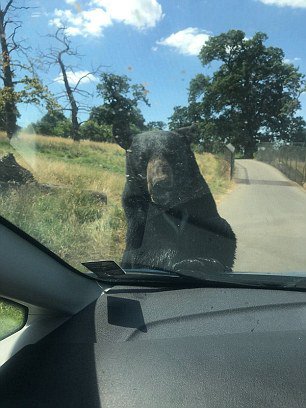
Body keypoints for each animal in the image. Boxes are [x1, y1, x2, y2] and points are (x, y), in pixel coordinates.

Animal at [115, 125, 237, 274]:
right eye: (142, 158)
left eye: (172, 155)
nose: (161, 184)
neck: (170, 204)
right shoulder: (138, 209)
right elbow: (150, 245)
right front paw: (188, 262)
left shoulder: (200, 201)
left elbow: (220, 232)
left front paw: (207, 260)